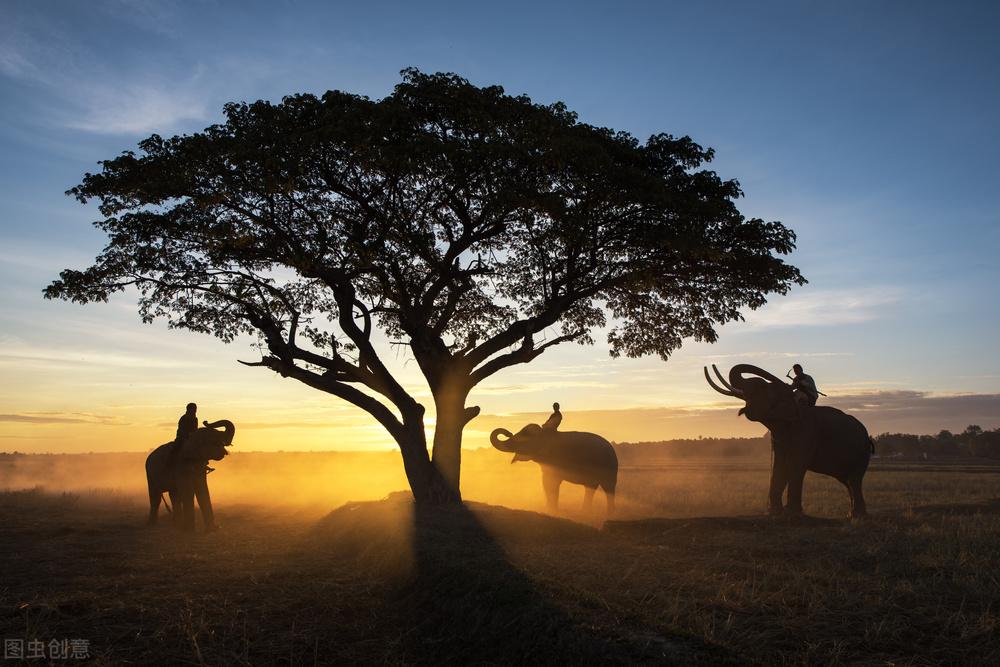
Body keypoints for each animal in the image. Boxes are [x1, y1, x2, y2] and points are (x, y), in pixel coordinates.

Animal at [704, 362, 876, 520]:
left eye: (761, 388)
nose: (709, 365)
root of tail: (868, 437)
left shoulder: (805, 433)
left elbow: (795, 464)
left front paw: (792, 513)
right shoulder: (779, 437)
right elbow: (780, 465)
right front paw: (774, 513)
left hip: (861, 453)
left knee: (854, 480)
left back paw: (857, 516)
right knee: (848, 481)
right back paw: (852, 515)